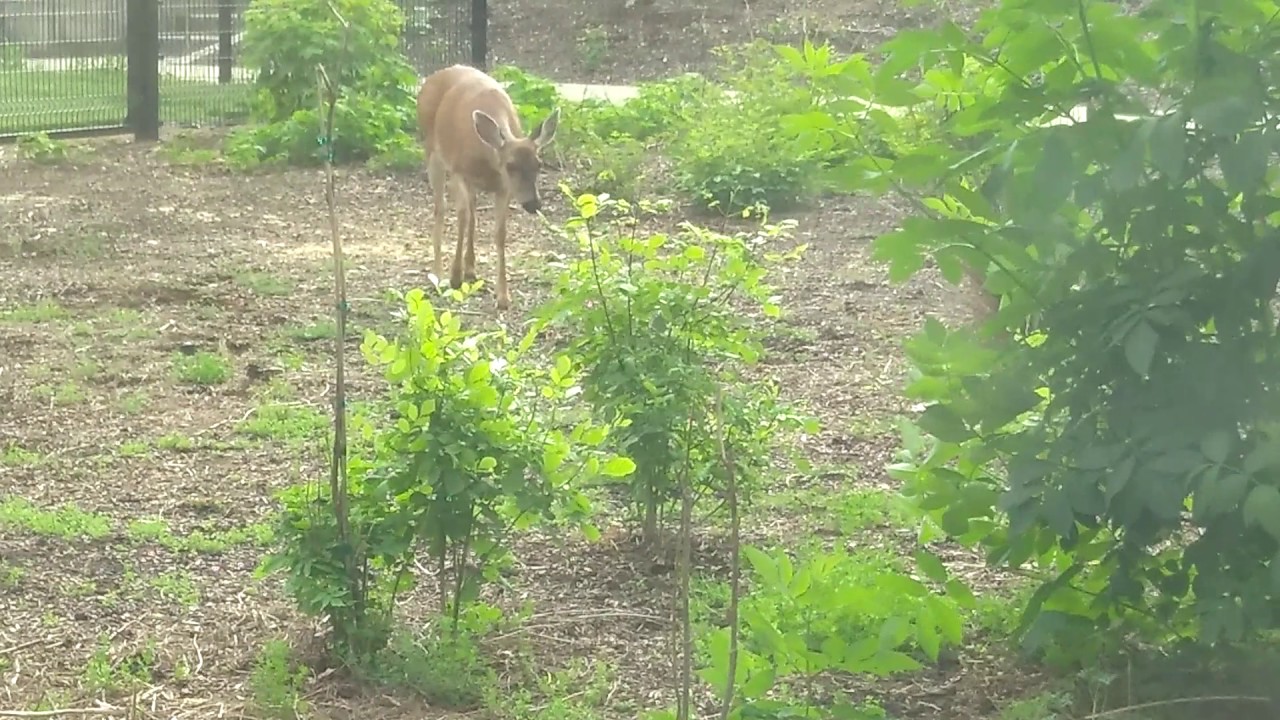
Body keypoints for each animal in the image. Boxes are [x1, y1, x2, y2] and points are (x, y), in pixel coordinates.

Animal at [416, 64, 560, 311]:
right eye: (510, 165)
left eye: (539, 164)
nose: (533, 203)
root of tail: (434, 76)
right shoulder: (459, 171)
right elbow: (462, 217)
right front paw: (454, 277)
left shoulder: (503, 188)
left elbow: (499, 233)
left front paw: (503, 296)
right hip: (432, 149)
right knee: (441, 208)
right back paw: (438, 274)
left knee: (472, 211)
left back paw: (471, 269)